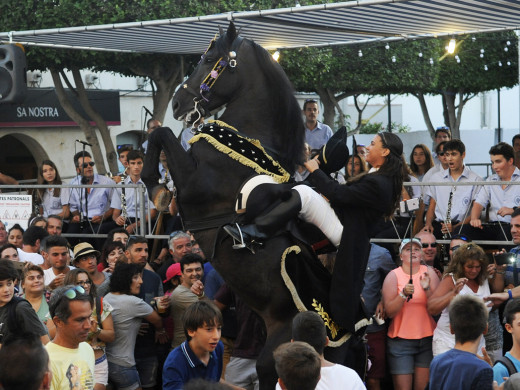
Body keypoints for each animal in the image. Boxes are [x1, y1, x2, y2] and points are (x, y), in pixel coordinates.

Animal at [140, 22, 364, 390]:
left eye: (208, 59)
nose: (178, 102)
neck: (246, 146)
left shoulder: (195, 185)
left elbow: (161, 137)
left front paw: (155, 186)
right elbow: (160, 137)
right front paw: (158, 188)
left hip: (273, 353)